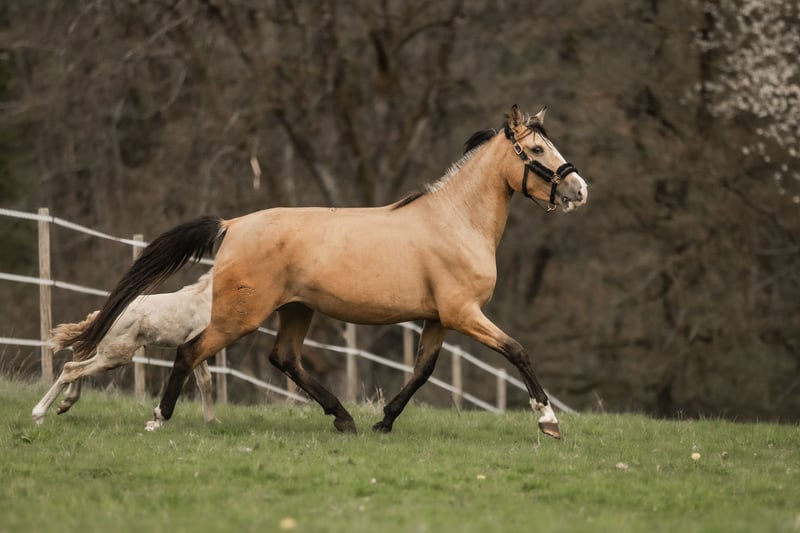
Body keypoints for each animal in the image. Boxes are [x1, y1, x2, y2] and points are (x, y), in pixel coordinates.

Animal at [32, 270, 217, 425]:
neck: (206, 299)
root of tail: (101, 314)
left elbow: (205, 381)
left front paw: (211, 421)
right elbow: (204, 379)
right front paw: (211, 420)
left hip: (107, 351)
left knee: (77, 354)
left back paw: (66, 403)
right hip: (116, 356)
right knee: (71, 368)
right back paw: (39, 414)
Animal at [64, 105, 588, 439]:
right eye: (537, 152)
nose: (579, 190)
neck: (455, 221)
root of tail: (232, 225)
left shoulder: (438, 318)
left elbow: (423, 371)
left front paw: (384, 420)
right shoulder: (463, 313)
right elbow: (517, 352)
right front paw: (548, 420)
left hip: (296, 310)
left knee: (284, 358)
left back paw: (344, 419)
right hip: (240, 316)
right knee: (189, 353)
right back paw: (157, 418)